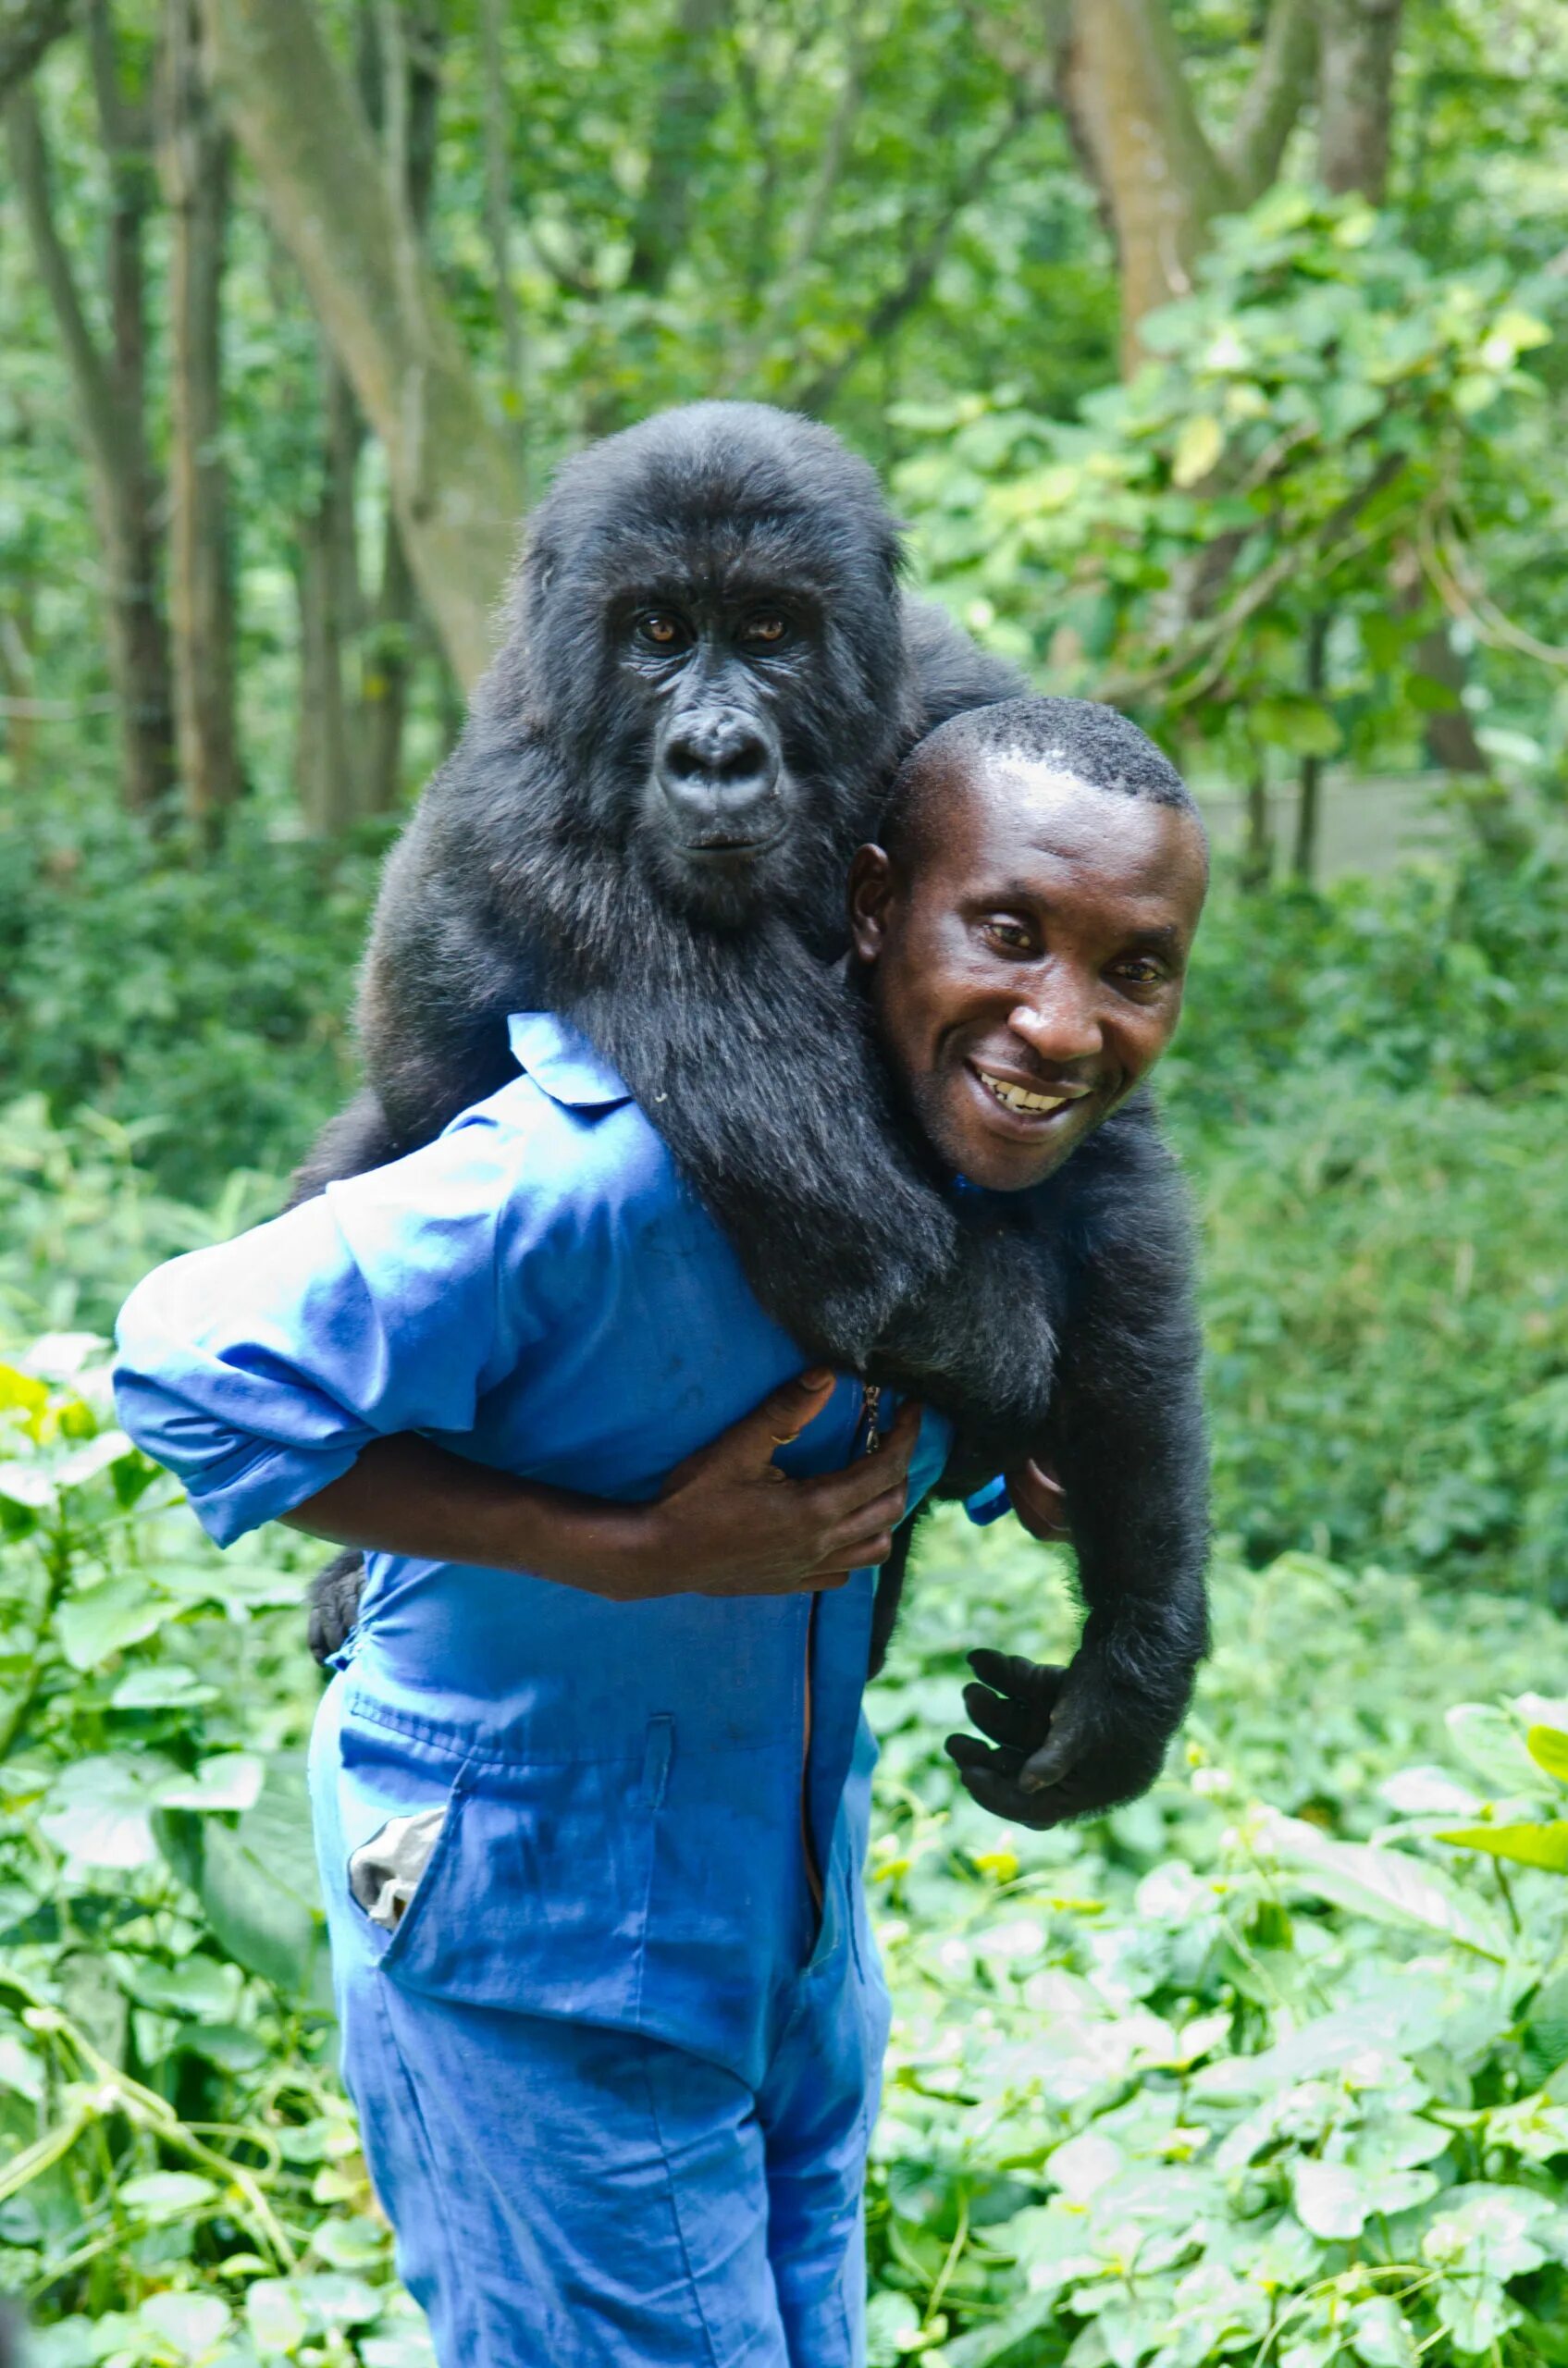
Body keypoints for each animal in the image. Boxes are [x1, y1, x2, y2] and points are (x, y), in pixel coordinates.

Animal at [301, 398, 1207, 1819]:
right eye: (659, 632)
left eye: (772, 630)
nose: (717, 754)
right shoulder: (536, 827)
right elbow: (898, 1257)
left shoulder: (963, 696)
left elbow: (1106, 1173)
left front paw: (1135, 1654)